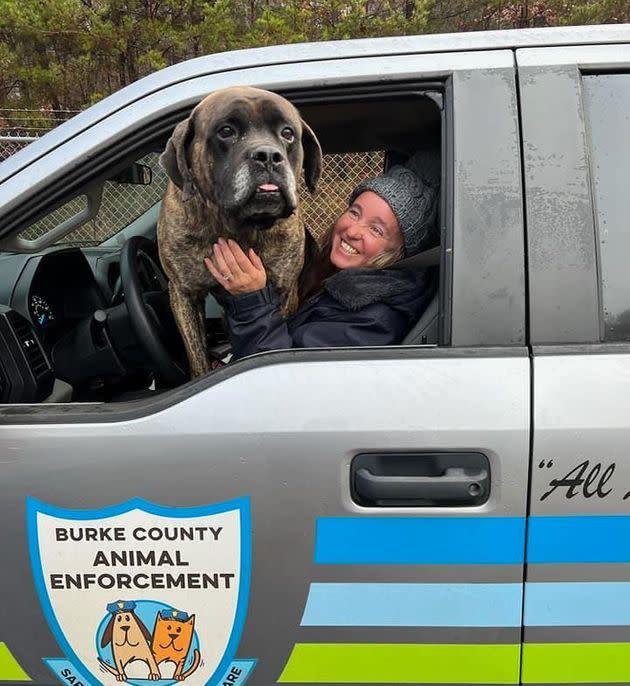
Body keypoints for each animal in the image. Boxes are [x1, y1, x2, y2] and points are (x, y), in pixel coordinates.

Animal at [158, 86, 320, 378]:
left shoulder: (284, 290)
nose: (268, 156)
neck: (237, 226)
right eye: (226, 131)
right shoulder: (184, 293)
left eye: (287, 133)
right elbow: (197, 356)